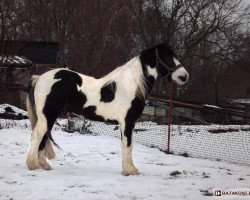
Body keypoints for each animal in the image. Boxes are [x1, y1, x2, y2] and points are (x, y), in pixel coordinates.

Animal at [26, 42, 188, 175]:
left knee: (43, 136)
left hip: (50, 116)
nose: (184, 77)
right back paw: (32, 165)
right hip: (47, 115)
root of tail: (39, 78)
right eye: (166, 57)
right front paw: (130, 170)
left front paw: (129, 169)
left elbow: (127, 146)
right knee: (38, 135)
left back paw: (44, 165)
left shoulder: (127, 124)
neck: (130, 87)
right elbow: (127, 145)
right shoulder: (127, 123)